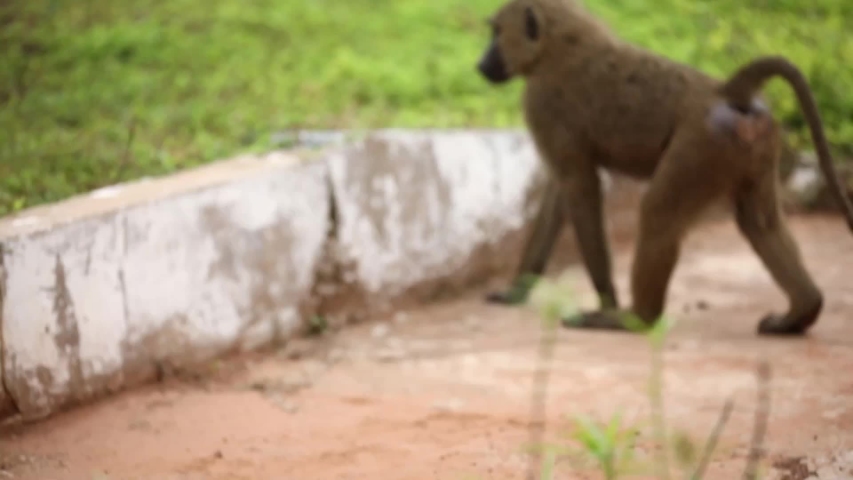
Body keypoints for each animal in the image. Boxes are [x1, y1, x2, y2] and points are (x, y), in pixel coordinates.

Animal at [476, 0, 853, 335]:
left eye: (496, 33)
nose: (481, 65)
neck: (557, 45)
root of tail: (724, 92)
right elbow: (560, 193)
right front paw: (516, 290)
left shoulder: (541, 103)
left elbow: (579, 186)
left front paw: (607, 303)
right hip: (751, 148)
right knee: (760, 223)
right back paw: (801, 311)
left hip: (700, 148)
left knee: (659, 212)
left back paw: (635, 319)